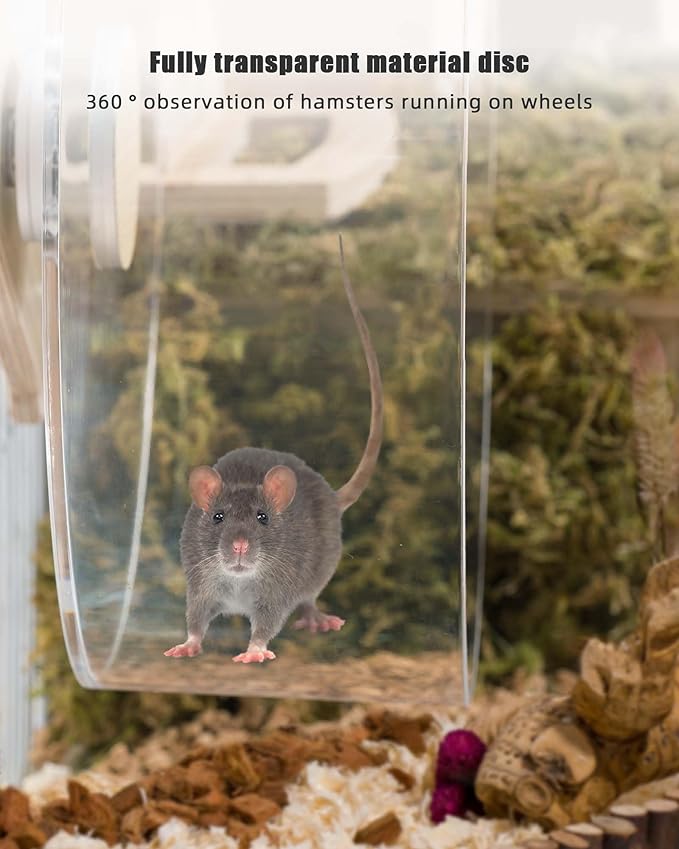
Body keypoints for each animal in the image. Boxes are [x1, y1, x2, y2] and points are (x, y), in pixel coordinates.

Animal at [165, 236, 383, 663]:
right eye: (217, 517)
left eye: (263, 518)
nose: (238, 545)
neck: (239, 579)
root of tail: (332, 496)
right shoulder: (200, 587)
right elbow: (196, 621)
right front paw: (186, 646)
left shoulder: (275, 594)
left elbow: (266, 626)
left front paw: (253, 653)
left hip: (319, 572)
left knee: (309, 598)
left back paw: (318, 619)